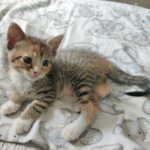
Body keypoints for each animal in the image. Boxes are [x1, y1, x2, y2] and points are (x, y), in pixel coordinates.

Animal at [0, 22, 149, 141]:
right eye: (27, 60)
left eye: (45, 63)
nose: (37, 72)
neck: (24, 80)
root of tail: (102, 60)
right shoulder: (18, 84)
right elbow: (18, 93)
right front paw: (11, 104)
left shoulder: (50, 91)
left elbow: (34, 106)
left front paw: (21, 122)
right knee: (103, 89)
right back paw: (80, 104)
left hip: (81, 78)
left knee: (92, 107)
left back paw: (74, 128)